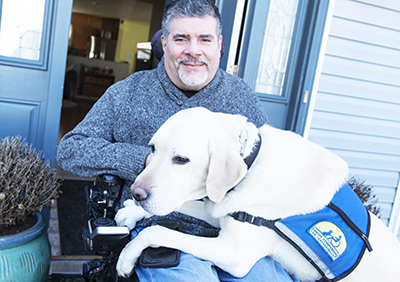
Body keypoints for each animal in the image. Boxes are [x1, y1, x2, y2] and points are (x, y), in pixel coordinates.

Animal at [115, 107, 400, 280]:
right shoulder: (222, 208)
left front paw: (127, 257)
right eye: (153, 147)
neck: (251, 161)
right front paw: (131, 212)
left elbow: (156, 231)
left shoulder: (234, 254)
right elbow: (186, 205)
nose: (136, 192)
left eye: (181, 159)